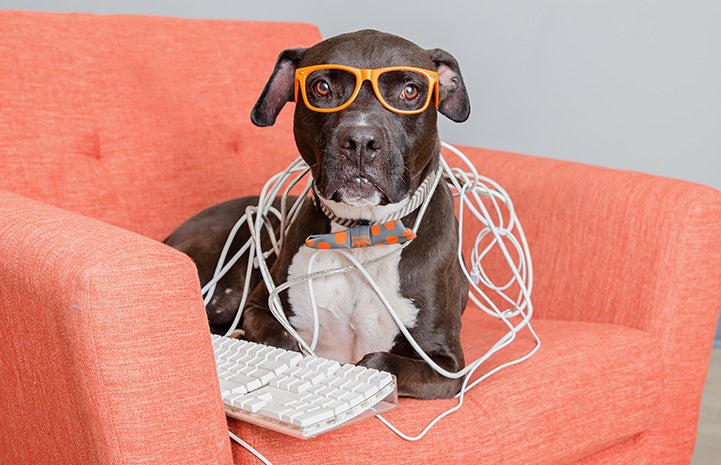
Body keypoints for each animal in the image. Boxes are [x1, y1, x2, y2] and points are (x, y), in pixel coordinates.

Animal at [169, 29, 472, 398]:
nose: (360, 141)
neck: (360, 234)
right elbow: (285, 343)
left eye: (411, 91)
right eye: (322, 88)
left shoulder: (446, 366)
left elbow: (378, 362)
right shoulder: (259, 310)